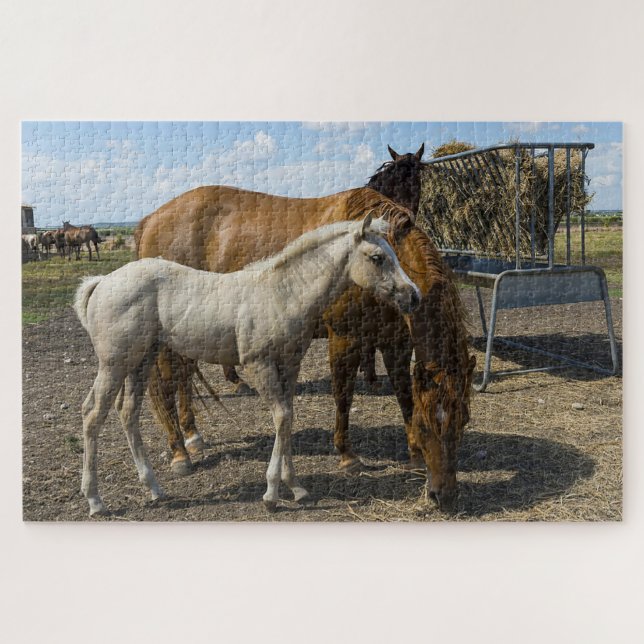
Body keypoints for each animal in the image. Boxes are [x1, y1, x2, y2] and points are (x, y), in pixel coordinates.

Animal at [75, 215, 420, 516]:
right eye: (377, 257)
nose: (413, 296)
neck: (283, 293)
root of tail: (102, 282)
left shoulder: (290, 365)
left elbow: (288, 417)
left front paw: (296, 488)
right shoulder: (259, 364)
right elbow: (281, 416)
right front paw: (271, 495)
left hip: (140, 361)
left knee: (127, 412)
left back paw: (155, 489)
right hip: (114, 363)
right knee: (93, 414)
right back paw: (95, 500)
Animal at [136, 185, 475, 512]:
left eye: (463, 420)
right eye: (427, 426)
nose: (444, 496)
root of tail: (151, 219)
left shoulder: (396, 342)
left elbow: (405, 395)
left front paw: (414, 454)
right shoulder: (344, 338)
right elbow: (343, 396)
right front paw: (347, 455)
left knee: (183, 379)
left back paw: (192, 436)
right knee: (164, 386)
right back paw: (179, 452)